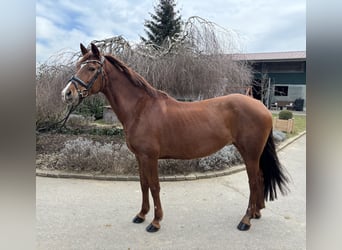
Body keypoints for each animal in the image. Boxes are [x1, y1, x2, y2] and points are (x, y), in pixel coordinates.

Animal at [61, 43, 288, 232]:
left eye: (91, 68)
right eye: (78, 66)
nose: (67, 93)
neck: (141, 109)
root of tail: (261, 106)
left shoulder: (150, 157)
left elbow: (154, 186)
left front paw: (155, 221)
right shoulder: (140, 157)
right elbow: (143, 184)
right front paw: (141, 215)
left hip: (249, 152)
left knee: (253, 181)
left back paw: (245, 220)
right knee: (260, 178)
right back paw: (256, 212)